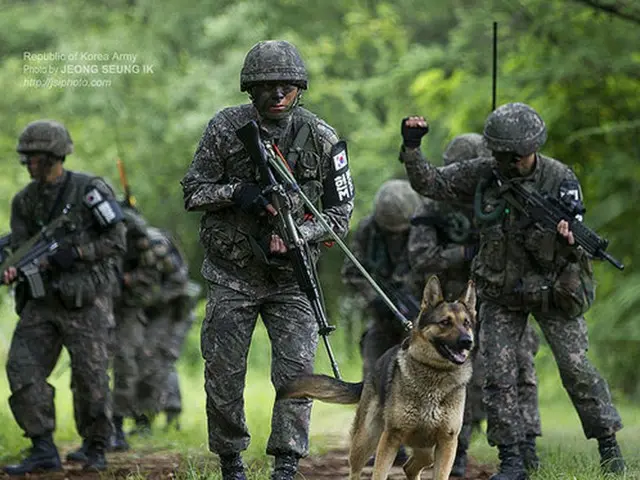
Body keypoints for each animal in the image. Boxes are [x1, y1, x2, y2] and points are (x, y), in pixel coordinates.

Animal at [278, 276, 476, 480]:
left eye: (467, 323)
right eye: (445, 322)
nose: (467, 342)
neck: (434, 371)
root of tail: (372, 371)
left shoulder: (447, 441)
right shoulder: (391, 437)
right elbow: (379, 473)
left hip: (426, 448)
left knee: (411, 467)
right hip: (366, 440)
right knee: (357, 471)